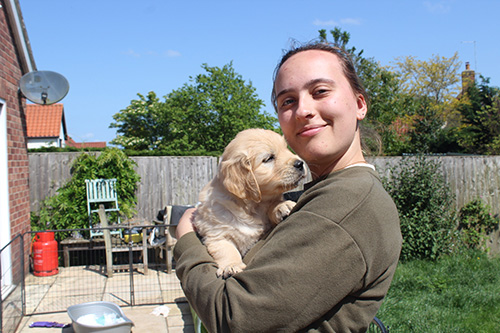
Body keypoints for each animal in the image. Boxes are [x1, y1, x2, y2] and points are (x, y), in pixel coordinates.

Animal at [192, 127, 306, 278]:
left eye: (286, 149)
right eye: (269, 158)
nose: (300, 163)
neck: (251, 206)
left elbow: (273, 204)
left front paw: (283, 206)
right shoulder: (216, 233)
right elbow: (227, 250)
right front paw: (232, 266)